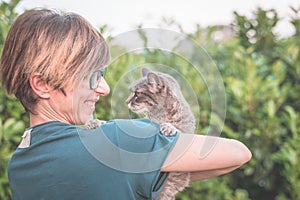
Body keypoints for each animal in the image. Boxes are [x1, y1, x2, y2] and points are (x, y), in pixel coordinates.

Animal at [125, 67, 196, 200]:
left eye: (137, 94)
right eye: (131, 92)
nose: (126, 101)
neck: (159, 116)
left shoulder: (188, 130)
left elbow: (178, 128)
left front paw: (169, 127)